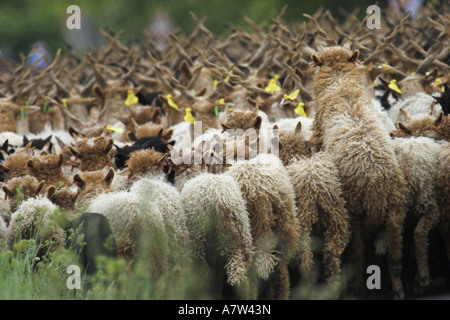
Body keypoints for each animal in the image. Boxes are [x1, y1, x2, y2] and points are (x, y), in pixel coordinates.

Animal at [312, 44, 410, 300]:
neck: (340, 83)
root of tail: (375, 181)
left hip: (353, 212)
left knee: (356, 254)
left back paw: (354, 288)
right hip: (395, 212)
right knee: (395, 259)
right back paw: (399, 291)